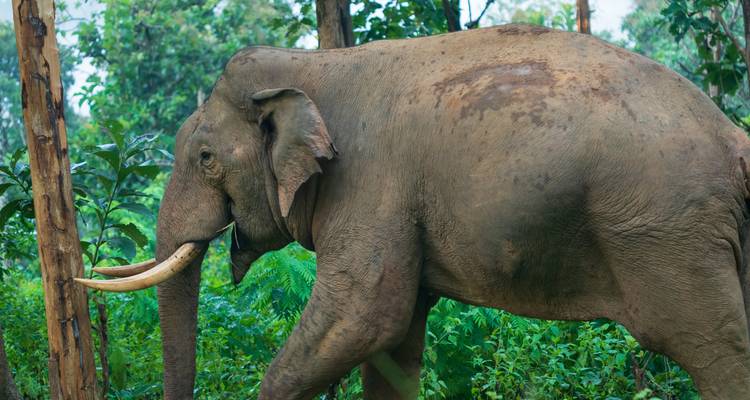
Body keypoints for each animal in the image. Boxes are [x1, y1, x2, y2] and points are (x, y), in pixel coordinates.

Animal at [77, 24, 750, 399]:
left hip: (667, 233)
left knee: (713, 345)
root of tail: (733, 139)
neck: (312, 63)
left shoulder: (370, 185)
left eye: (207, 158)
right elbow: (394, 343)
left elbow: (364, 316)